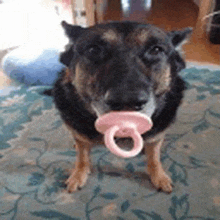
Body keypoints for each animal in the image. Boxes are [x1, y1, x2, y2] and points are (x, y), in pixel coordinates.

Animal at [47, 20, 191, 192]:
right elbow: (82, 156)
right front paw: (78, 174)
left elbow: (154, 156)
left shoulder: (157, 135)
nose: (127, 101)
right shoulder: (79, 134)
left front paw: (159, 175)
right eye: (94, 49)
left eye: (156, 50)